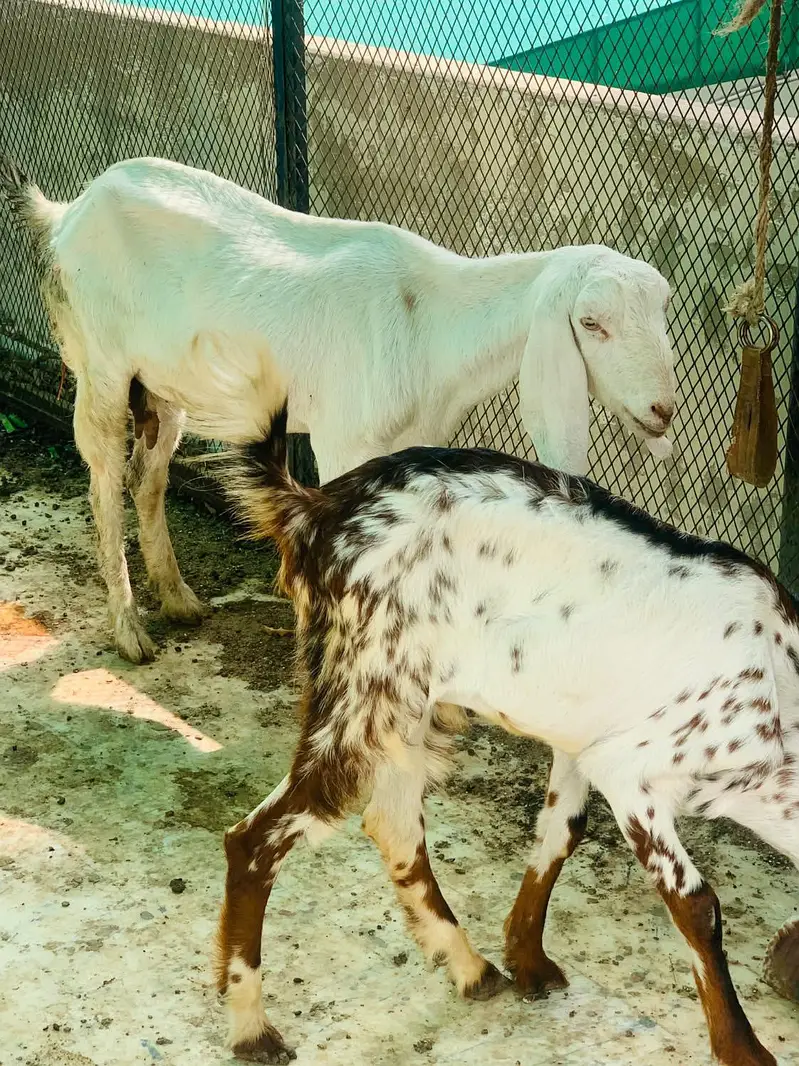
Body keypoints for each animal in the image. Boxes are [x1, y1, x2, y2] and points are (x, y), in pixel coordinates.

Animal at [0, 154, 675, 664]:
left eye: (664, 309)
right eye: (591, 323)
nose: (663, 409)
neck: (432, 320)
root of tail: (69, 211)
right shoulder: (345, 442)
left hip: (163, 385)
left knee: (150, 479)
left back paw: (179, 599)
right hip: (103, 365)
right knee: (104, 482)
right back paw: (130, 630)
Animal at [213, 401, 798, 1066]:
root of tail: (311, 507)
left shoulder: (580, 745)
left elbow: (562, 831)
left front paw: (527, 958)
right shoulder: (632, 772)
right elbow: (697, 905)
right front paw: (743, 1048)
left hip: (401, 705)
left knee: (393, 824)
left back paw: (470, 966)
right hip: (360, 691)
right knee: (255, 840)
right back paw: (251, 1025)